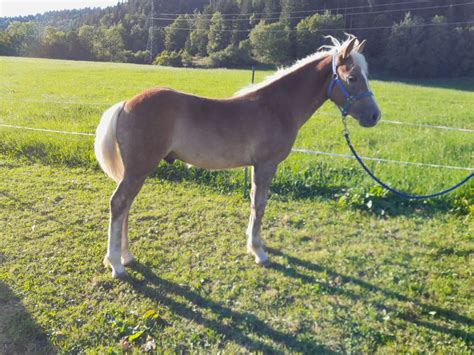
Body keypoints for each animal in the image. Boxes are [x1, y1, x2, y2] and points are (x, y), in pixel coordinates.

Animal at [95, 36, 382, 280]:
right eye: (353, 77)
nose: (374, 116)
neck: (276, 106)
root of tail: (126, 104)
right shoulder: (266, 165)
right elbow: (260, 204)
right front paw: (258, 251)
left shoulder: (259, 167)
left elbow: (255, 203)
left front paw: (254, 243)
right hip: (138, 170)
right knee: (119, 204)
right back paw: (117, 264)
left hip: (136, 171)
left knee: (126, 206)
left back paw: (126, 256)